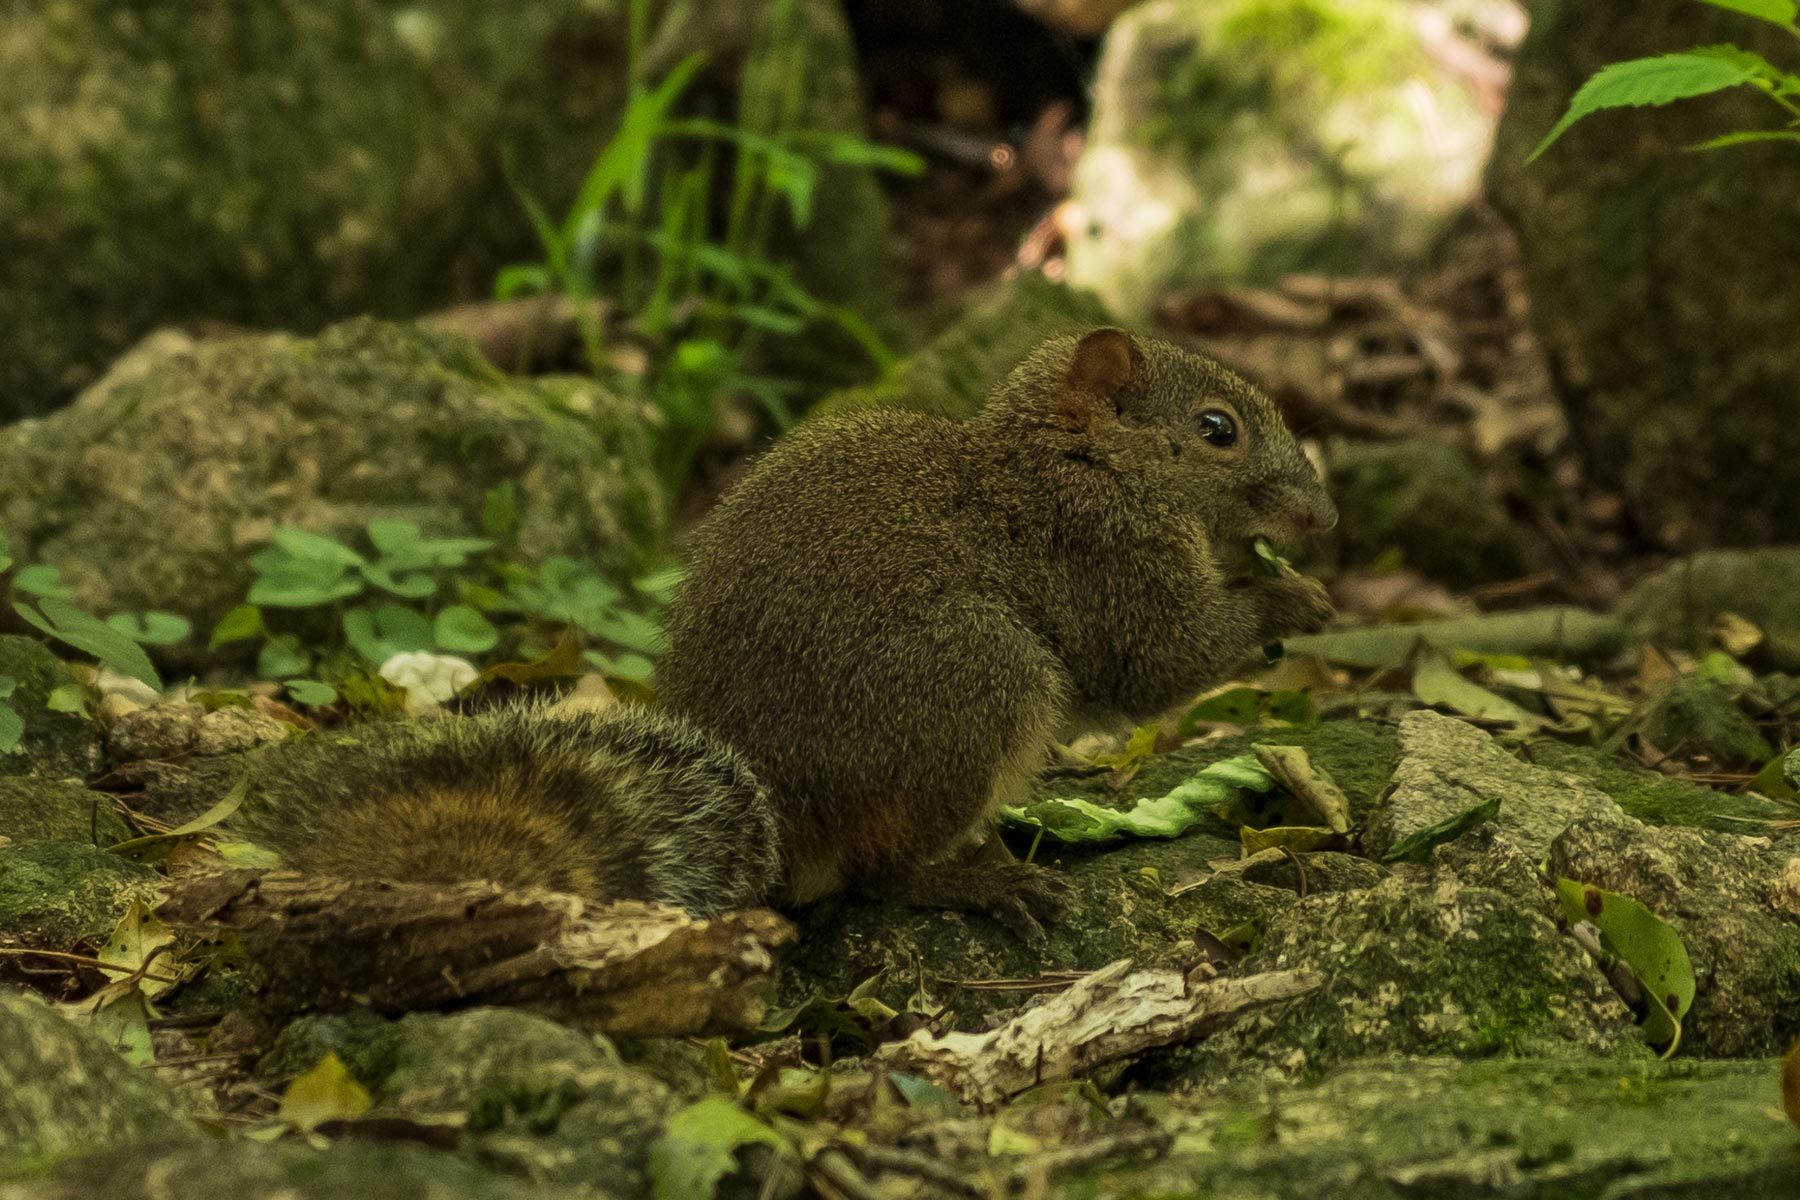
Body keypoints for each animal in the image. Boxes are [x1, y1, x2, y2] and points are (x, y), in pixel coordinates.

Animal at [228, 329, 1339, 935]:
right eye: (1217, 430)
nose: (1323, 520)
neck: (1072, 460)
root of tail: (774, 814)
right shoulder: (1109, 557)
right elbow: (1161, 660)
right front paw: (1294, 602)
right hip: (974, 682)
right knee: (882, 873)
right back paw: (979, 879)